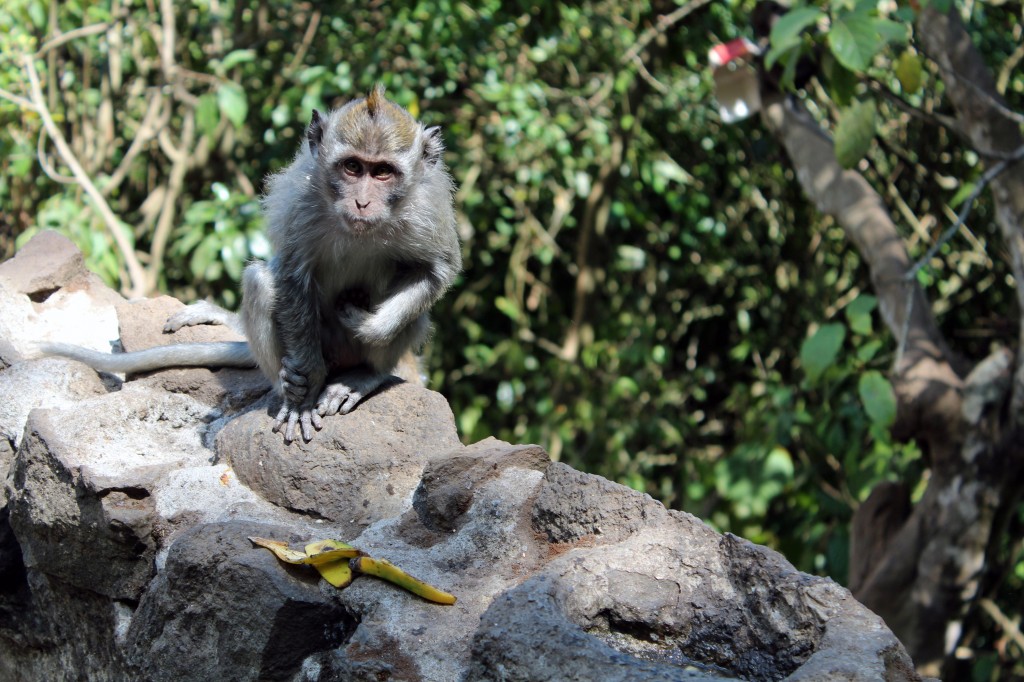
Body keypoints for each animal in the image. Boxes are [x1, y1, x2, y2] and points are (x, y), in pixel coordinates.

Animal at [40, 83, 460, 440]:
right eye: (353, 168)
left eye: (383, 172)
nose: (362, 202)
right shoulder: (300, 203)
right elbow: (291, 273)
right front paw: (306, 384)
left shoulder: (427, 209)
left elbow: (437, 270)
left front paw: (368, 324)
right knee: (261, 281)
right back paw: (289, 386)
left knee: (412, 314)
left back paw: (366, 376)